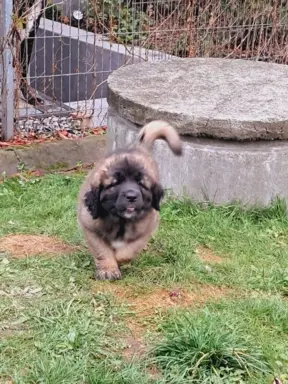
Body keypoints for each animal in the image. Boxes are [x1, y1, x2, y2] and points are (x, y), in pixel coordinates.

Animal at [77, 121, 181, 280]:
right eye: (115, 183)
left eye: (141, 183)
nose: (131, 196)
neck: (121, 222)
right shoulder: (90, 226)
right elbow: (102, 250)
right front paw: (108, 269)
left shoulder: (147, 228)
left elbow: (129, 250)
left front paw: (119, 258)